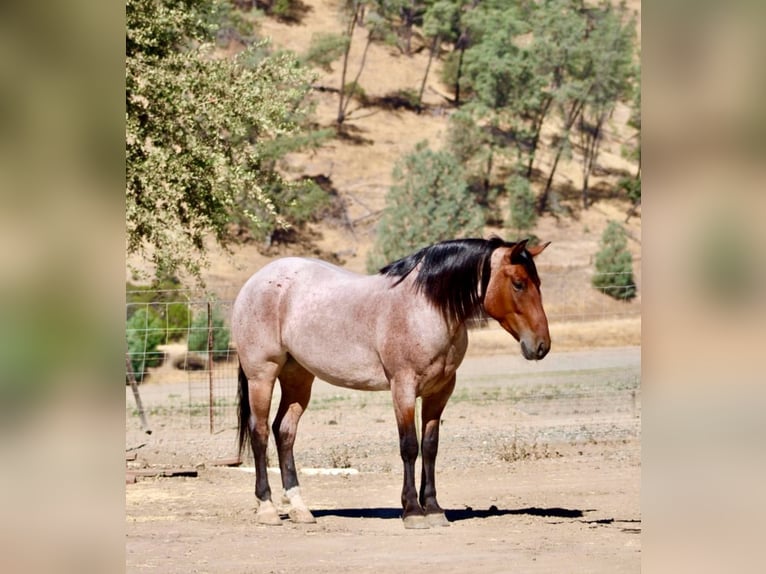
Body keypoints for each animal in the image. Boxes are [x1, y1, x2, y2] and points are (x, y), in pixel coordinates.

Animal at [233, 237, 550, 529]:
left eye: (538, 282)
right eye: (519, 283)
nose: (541, 346)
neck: (425, 308)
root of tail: (255, 282)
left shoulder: (440, 392)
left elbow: (430, 447)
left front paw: (433, 508)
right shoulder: (403, 387)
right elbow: (409, 445)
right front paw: (412, 511)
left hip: (298, 377)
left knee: (284, 432)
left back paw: (300, 509)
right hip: (262, 375)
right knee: (260, 432)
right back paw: (267, 509)